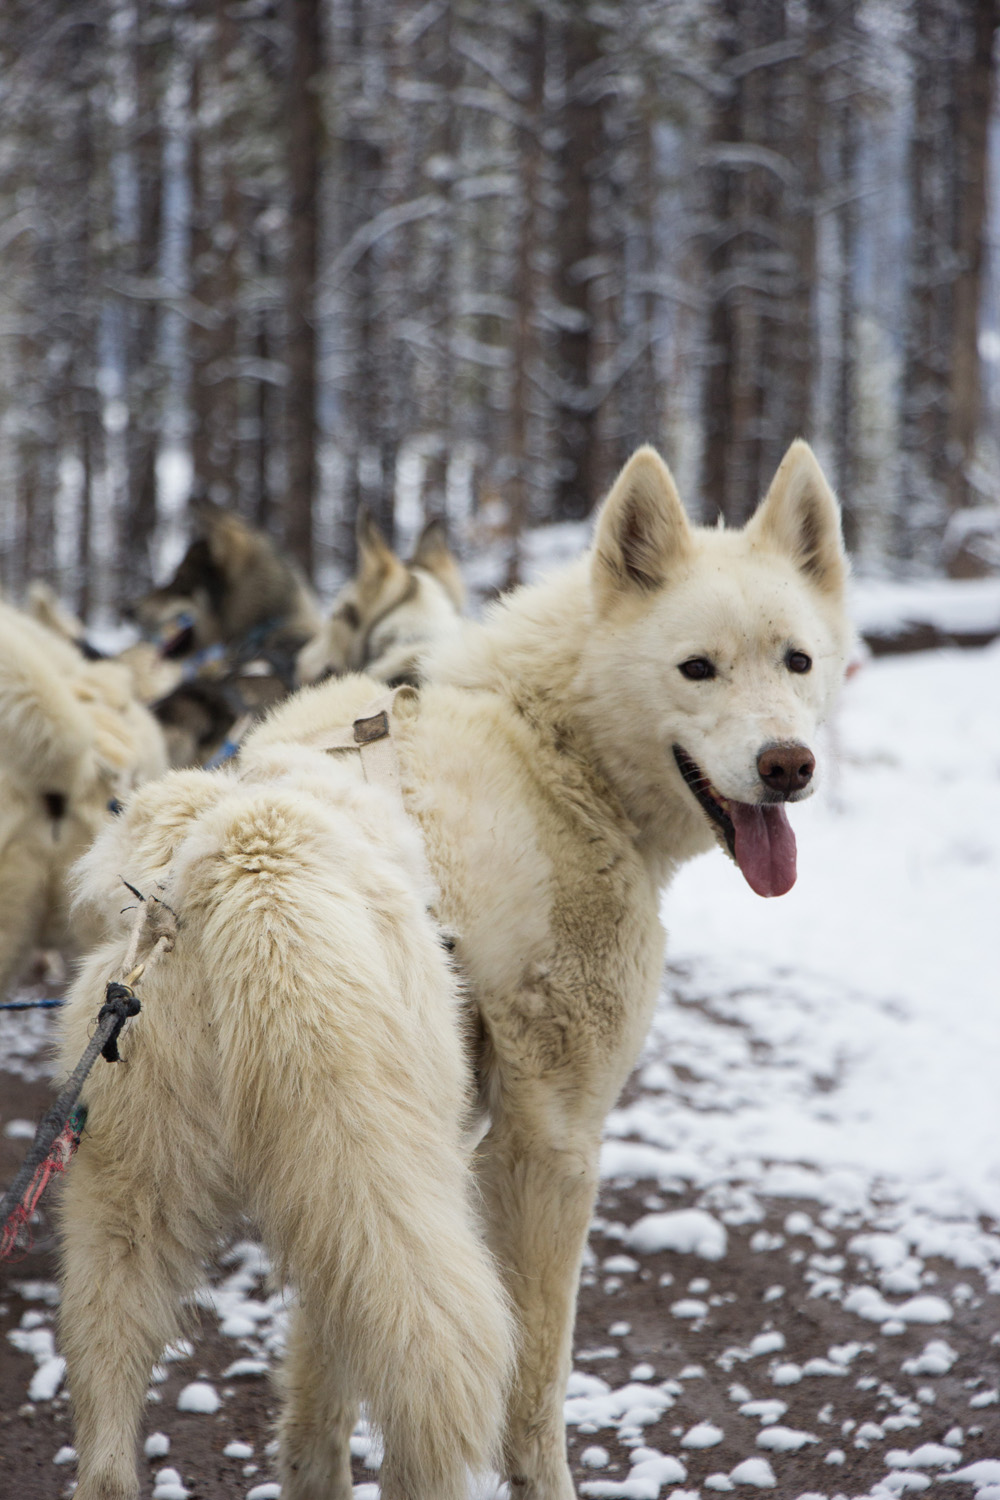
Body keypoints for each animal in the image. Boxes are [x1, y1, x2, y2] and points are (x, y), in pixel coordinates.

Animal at [56, 438, 851, 1494]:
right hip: (410, 1203)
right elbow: (538, 1393)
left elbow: (318, 1396)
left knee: (111, 1452)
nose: (787, 765)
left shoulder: (336, 1216)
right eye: (698, 668)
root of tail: (249, 854)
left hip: (150, 1226)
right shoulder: (550, 1144)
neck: (550, 738)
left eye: (796, 660)